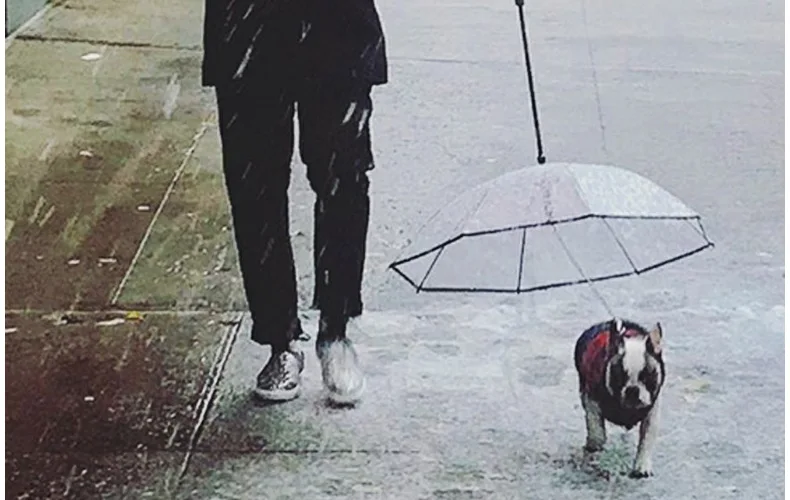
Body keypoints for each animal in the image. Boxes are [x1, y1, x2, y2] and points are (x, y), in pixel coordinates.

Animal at [573, 317, 665, 478]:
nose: (632, 390)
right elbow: (596, 426)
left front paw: (642, 464)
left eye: (647, 377)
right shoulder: (590, 398)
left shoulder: (651, 412)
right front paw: (595, 442)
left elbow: (646, 439)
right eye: (619, 376)